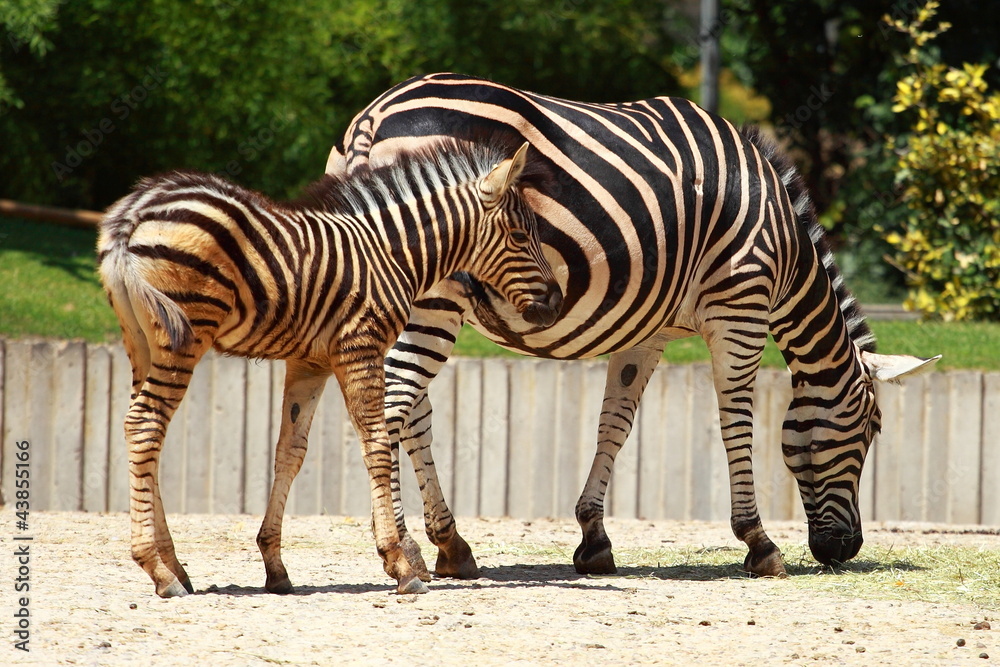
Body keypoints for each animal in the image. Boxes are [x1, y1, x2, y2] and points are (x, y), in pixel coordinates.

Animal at [98, 134, 564, 596]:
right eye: (520, 235)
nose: (557, 304)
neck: (390, 253)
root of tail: (136, 209)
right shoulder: (360, 348)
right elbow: (377, 444)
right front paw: (399, 564)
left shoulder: (310, 362)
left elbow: (290, 451)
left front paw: (275, 565)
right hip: (184, 334)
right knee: (145, 425)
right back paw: (158, 571)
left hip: (141, 341)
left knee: (144, 434)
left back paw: (174, 566)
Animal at [330, 73, 936, 580]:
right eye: (871, 429)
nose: (847, 550)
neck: (785, 253)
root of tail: (375, 114)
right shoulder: (740, 306)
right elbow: (736, 421)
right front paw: (759, 543)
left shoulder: (649, 329)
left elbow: (614, 424)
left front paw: (594, 539)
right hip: (435, 294)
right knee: (394, 407)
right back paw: (403, 551)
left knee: (413, 413)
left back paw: (450, 545)